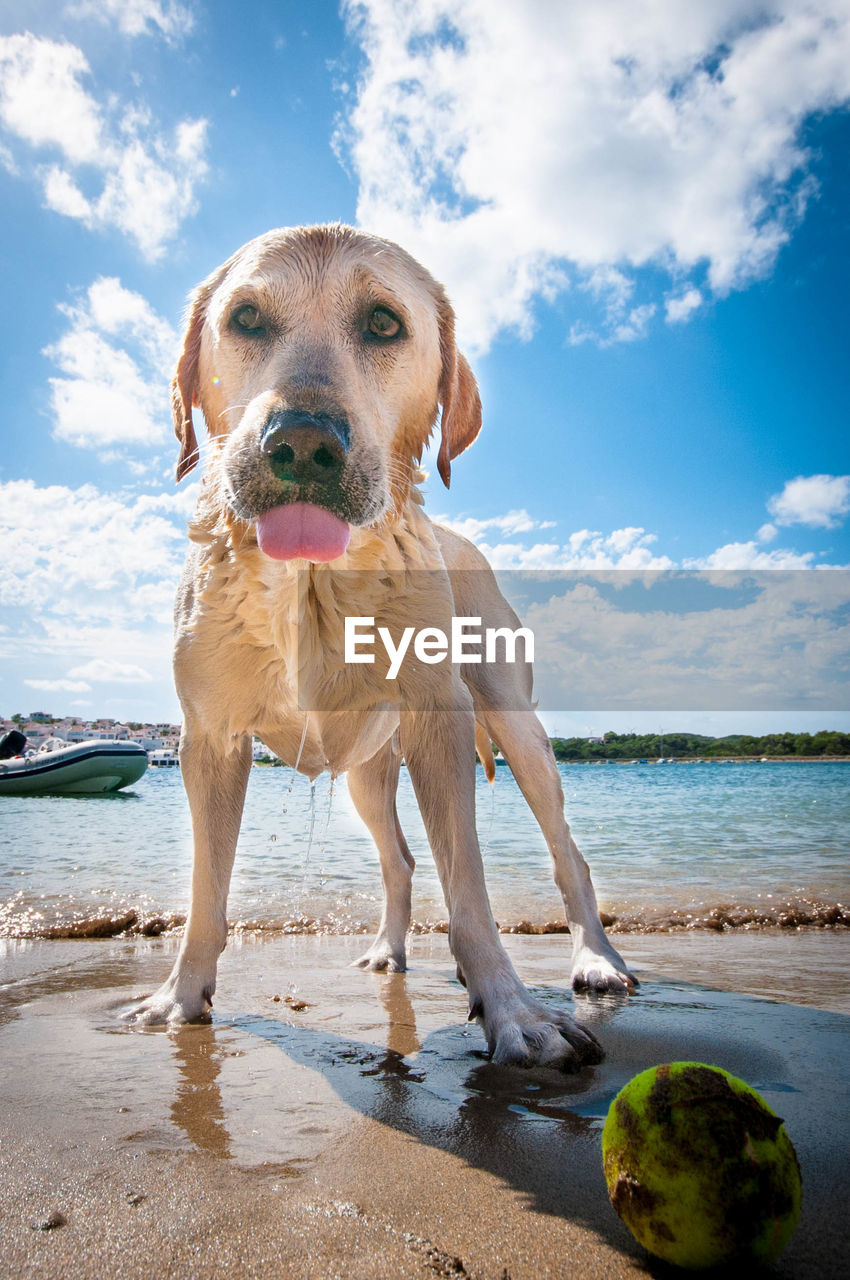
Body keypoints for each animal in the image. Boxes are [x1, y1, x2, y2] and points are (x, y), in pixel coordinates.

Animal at [124, 225, 629, 1064]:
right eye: (246, 317)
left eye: (384, 323)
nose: (301, 442)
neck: (310, 588)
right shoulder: (210, 739)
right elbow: (205, 889)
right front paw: (179, 996)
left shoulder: (439, 724)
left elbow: (470, 887)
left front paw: (511, 1008)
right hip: (365, 770)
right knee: (399, 860)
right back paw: (390, 952)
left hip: (514, 724)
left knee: (570, 855)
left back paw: (596, 958)